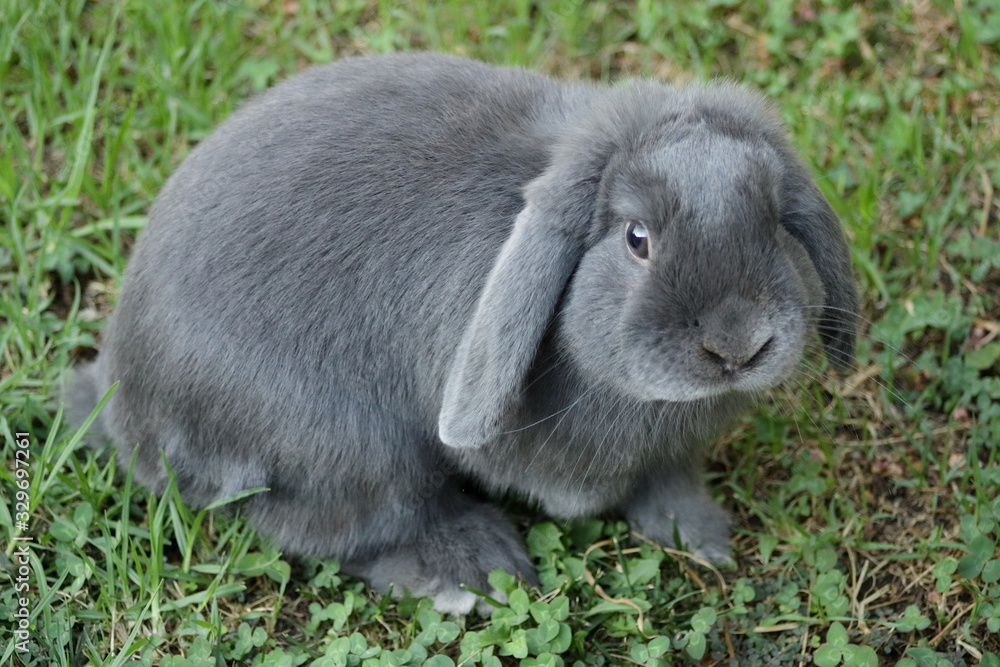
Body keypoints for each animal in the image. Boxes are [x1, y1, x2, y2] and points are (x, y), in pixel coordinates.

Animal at [66, 52, 857, 614]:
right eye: (637, 238)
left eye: (775, 222)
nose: (738, 344)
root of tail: (120, 395)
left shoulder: (669, 455)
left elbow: (668, 482)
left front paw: (703, 536)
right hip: (351, 448)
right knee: (343, 527)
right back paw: (473, 569)